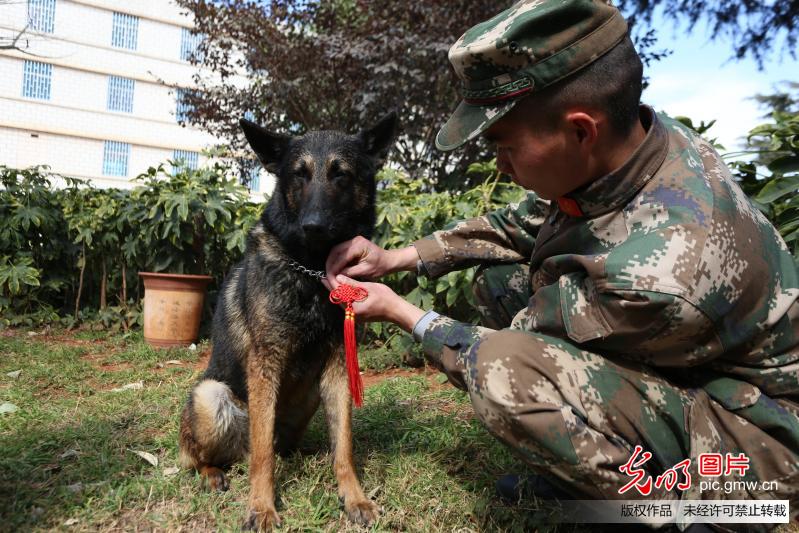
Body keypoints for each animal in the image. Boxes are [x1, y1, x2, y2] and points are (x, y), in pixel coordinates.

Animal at [178, 112, 396, 528]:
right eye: (299, 174)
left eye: (341, 174)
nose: (313, 225)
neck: (311, 271)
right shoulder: (266, 364)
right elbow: (263, 455)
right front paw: (262, 507)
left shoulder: (338, 366)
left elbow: (344, 446)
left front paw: (354, 498)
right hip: (210, 396)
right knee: (207, 457)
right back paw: (212, 474)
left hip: (310, 394)